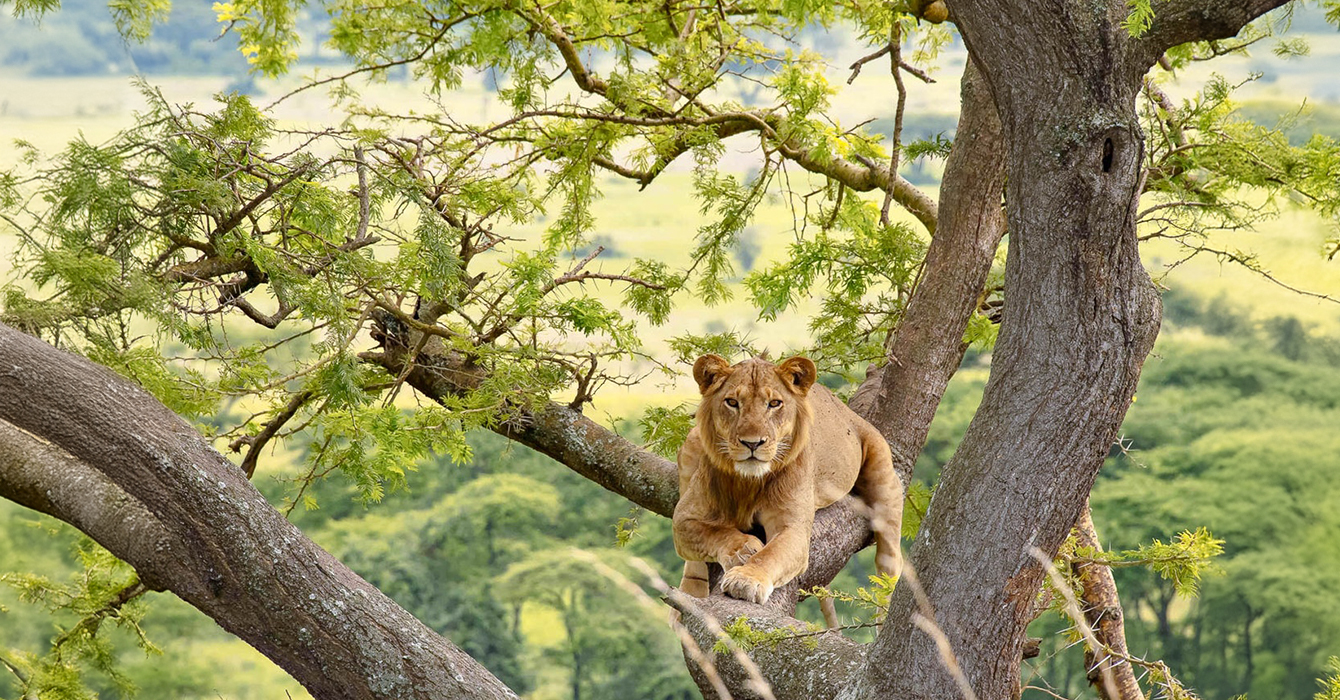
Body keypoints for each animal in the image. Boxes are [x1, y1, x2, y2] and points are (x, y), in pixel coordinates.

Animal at [675, 351, 905, 600]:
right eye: (732, 402)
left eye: (774, 403)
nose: (752, 443)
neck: (748, 482)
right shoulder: (684, 518)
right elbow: (715, 532)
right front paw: (743, 548)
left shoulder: (793, 528)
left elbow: (771, 555)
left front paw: (746, 579)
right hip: (692, 441)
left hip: (882, 471)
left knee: (890, 555)